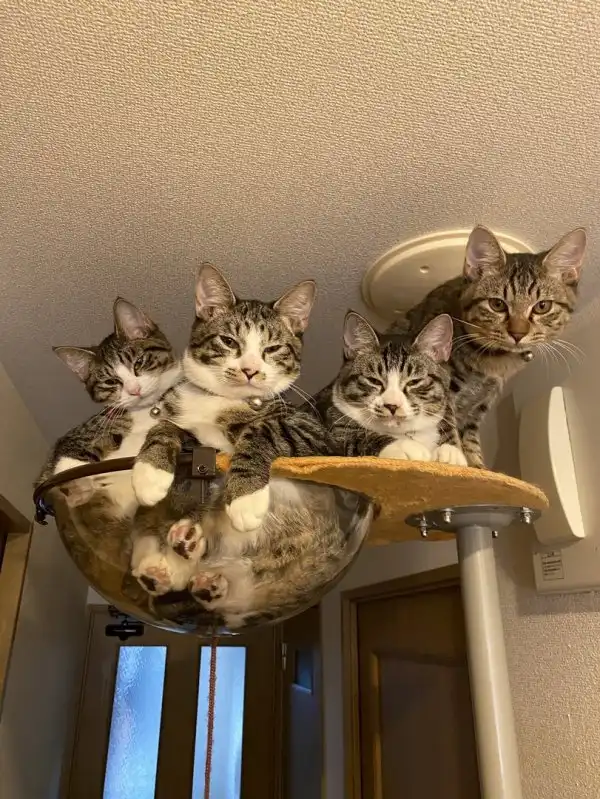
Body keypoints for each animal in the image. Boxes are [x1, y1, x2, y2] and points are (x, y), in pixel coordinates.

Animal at [37, 298, 181, 516]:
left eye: (139, 362)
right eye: (111, 381)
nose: (134, 390)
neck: (145, 411)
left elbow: (169, 428)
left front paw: (150, 476)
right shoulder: (84, 432)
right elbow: (69, 459)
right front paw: (80, 488)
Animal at [316, 310, 465, 463]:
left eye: (414, 382)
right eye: (374, 380)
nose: (392, 406)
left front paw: (449, 452)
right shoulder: (335, 422)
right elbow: (357, 434)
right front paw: (406, 447)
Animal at [388, 225, 587, 466]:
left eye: (542, 306)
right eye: (497, 304)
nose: (518, 333)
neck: (493, 361)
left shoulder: (482, 403)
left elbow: (470, 438)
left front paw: (478, 466)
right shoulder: (442, 389)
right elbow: (445, 424)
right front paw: (453, 455)